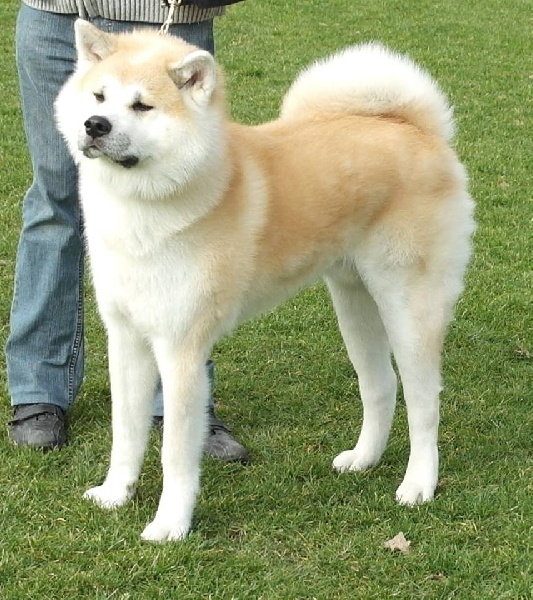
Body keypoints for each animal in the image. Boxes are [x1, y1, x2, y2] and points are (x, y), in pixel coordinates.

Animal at [55, 21, 474, 540]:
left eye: (142, 106)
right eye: (98, 96)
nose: (95, 125)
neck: (142, 208)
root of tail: (416, 129)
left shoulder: (181, 350)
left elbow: (175, 452)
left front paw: (170, 525)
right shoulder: (127, 338)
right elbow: (126, 432)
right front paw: (116, 493)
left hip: (409, 307)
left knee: (424, 403)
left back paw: (418, 484)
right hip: (354, 303)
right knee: (381, 385)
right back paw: (364, 459)